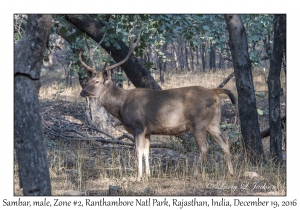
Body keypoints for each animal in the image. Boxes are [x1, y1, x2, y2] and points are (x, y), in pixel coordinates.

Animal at [78, 30, 236, 181]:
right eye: (88, 80)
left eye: (97, 82)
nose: (82, 92)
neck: (121, 106)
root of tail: (214, 91)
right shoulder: (148, 130)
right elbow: (146, 151)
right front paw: (148, 174)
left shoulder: (138, 126)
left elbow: (138, 151)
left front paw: (138, 177)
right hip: (213, 122)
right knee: (225, 142)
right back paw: (230, 172)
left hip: (199, 122)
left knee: (204, 147)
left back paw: (195, 174)